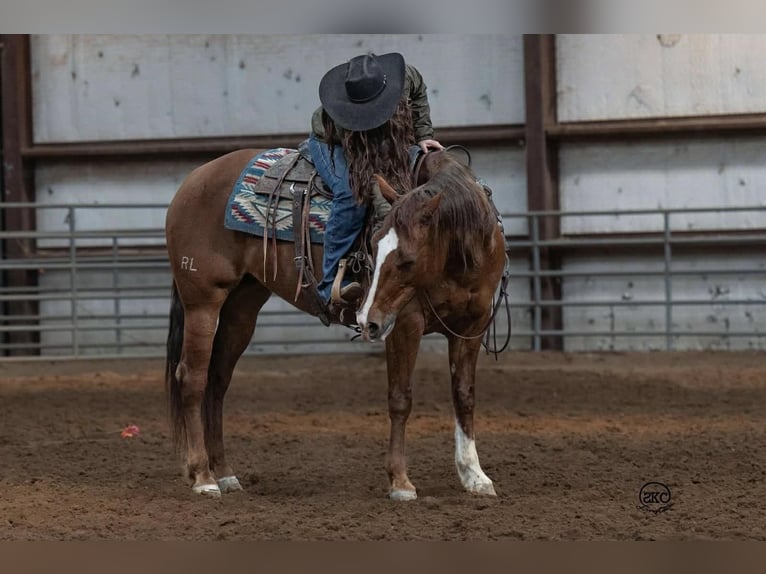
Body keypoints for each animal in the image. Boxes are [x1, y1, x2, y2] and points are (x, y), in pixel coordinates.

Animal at [164, 147, 508, 500]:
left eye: (407, 260)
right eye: (373, 245)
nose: (367, 320)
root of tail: (195, 179)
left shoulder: (472, 327)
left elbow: (464, 395)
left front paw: (475, 476)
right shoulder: (403, 324)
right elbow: (400, 398)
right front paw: (400, 481)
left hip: (242, 308)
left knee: (217, 381)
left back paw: (225, 474)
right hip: (203, 302)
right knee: (192, 378)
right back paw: (203, 477)